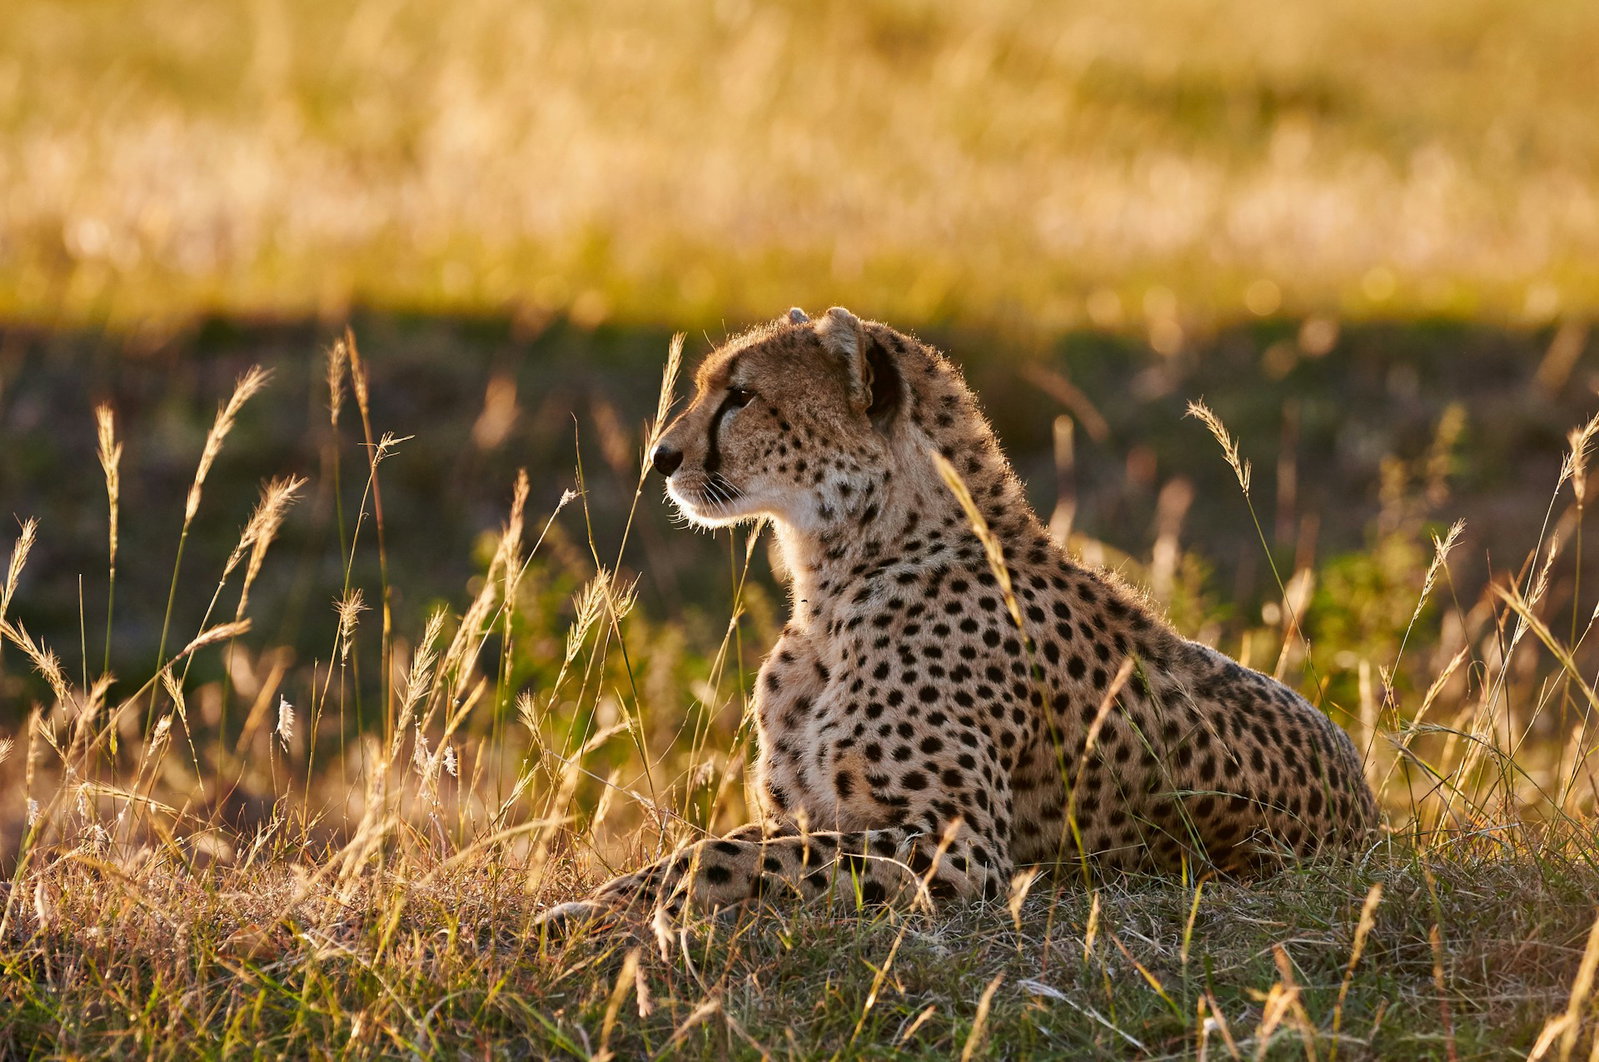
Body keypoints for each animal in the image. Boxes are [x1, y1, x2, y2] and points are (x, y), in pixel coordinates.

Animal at [537, 306, 1377, 932]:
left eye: (741, 395)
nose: (661, 458)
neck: (841, 576)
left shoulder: (959, 846)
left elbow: (724, 852)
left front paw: (599, 910)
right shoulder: (810, 810)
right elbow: (731, 842)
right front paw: (600, 904)